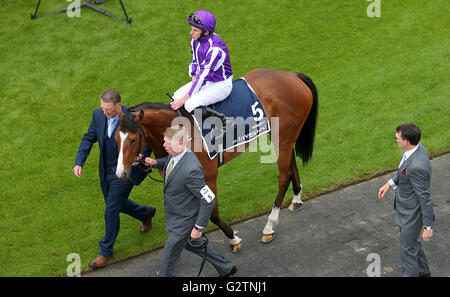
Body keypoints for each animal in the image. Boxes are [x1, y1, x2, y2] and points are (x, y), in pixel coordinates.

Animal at [113, 68, 316, 251]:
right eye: (115, 138)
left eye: (133, 139)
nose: (120, 174)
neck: (180, 130)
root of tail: (292, 75)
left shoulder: (208, 176)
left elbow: (212, 213)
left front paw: (233, 238)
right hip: (282, 136)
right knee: (291, 165)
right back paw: (296, 198)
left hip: (282, 137)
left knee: (283, 176)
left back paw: (269, 226)